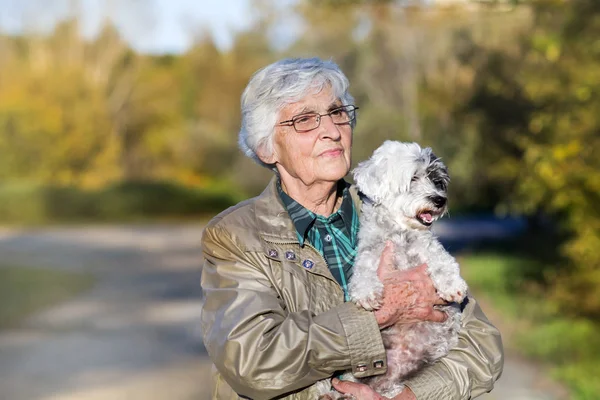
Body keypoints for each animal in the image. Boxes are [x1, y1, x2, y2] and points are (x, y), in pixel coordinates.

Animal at [316, 141, 466, 400]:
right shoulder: (370, 253)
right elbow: (364, 272)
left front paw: (452, 285)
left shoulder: (427, 248)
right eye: (413, 178)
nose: (439, 200)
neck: (399, 233)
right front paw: (367, 292)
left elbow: (443, 261)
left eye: (436, 180)